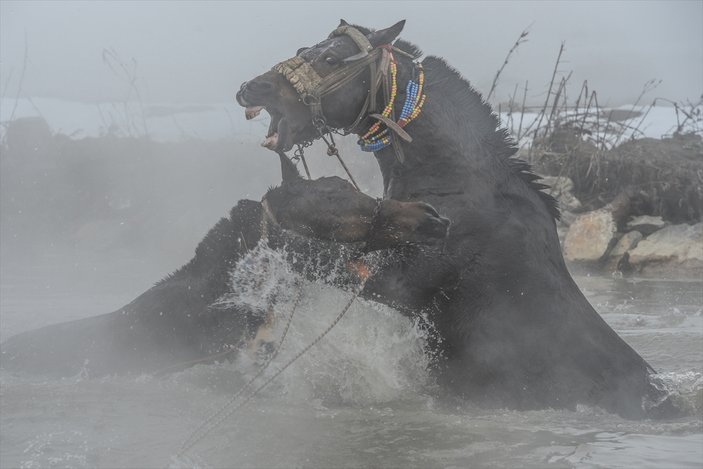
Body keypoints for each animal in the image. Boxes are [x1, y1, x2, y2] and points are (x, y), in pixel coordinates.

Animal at [0, 21, 672, 416]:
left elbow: (312, 251)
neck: (458, 181)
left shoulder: (402, 284)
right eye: (306, 48)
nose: (250, 88)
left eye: (326, 55)